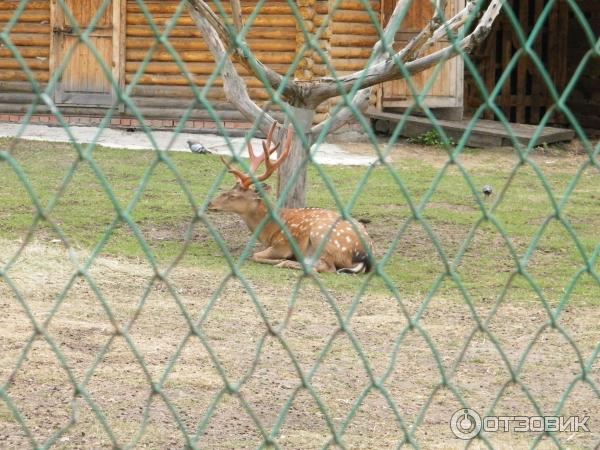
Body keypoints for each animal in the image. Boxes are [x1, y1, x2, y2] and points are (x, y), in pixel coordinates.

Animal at [209, 121, 372, 272]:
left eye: (233, 195)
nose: (210, 203)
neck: (268, 232)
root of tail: (365, 255)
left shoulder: (283, 244)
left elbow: (255, 255)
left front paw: (280, 260)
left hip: (323, 236)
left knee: (327, 267)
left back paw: (287, 263)